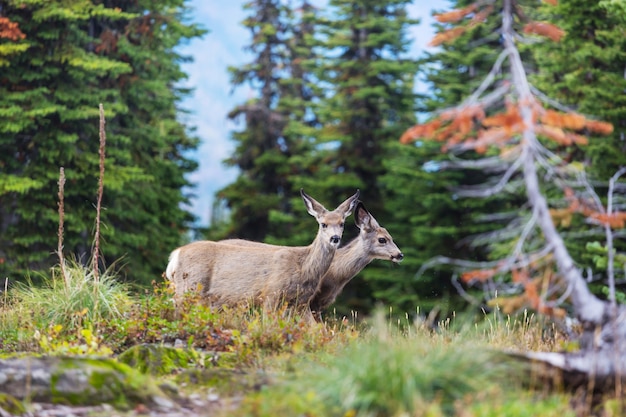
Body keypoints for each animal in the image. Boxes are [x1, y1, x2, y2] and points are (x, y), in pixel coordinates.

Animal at [163, 188, 358, 322]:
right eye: (323, 224)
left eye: (342, 223)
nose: (335, 238)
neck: (303, 266)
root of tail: (175, 255)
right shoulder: (271, 293)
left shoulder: (301, 302)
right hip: (189, 286)